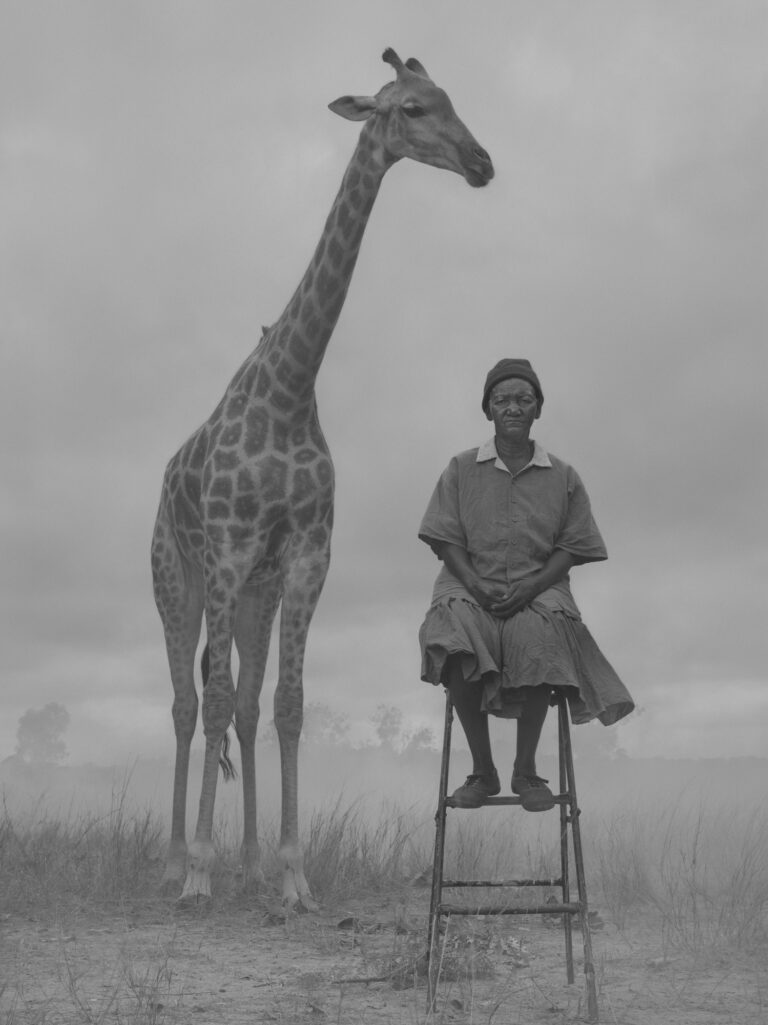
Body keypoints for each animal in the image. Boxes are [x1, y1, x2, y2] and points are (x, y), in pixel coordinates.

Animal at [151, 46, 492, 906]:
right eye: (410, 108)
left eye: (452, 98)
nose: (482, 163)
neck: (291, 387)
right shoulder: (228, 552)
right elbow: (211, 698)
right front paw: (199, 870)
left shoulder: (305, 555)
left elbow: (287, 703)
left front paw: (291, 875)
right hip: (177, 578)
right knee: (185, 702)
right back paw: (174, 863)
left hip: (256, 592)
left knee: (241, 704)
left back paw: (242, 861)